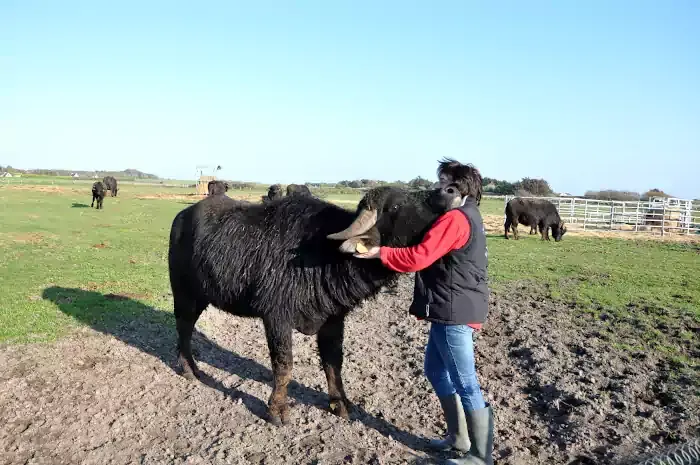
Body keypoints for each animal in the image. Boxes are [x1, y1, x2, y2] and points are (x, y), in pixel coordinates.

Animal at [169, 183, 464, 426]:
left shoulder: (333, 320)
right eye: (395, 206)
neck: (321, 254)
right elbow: (284, 365)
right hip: (184, 294)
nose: (449, 193)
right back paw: (189, 370)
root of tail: (181, 218)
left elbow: (333, 363)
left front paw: (340, 404)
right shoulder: (276, 318)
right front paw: (277, 411)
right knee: (183, 329)